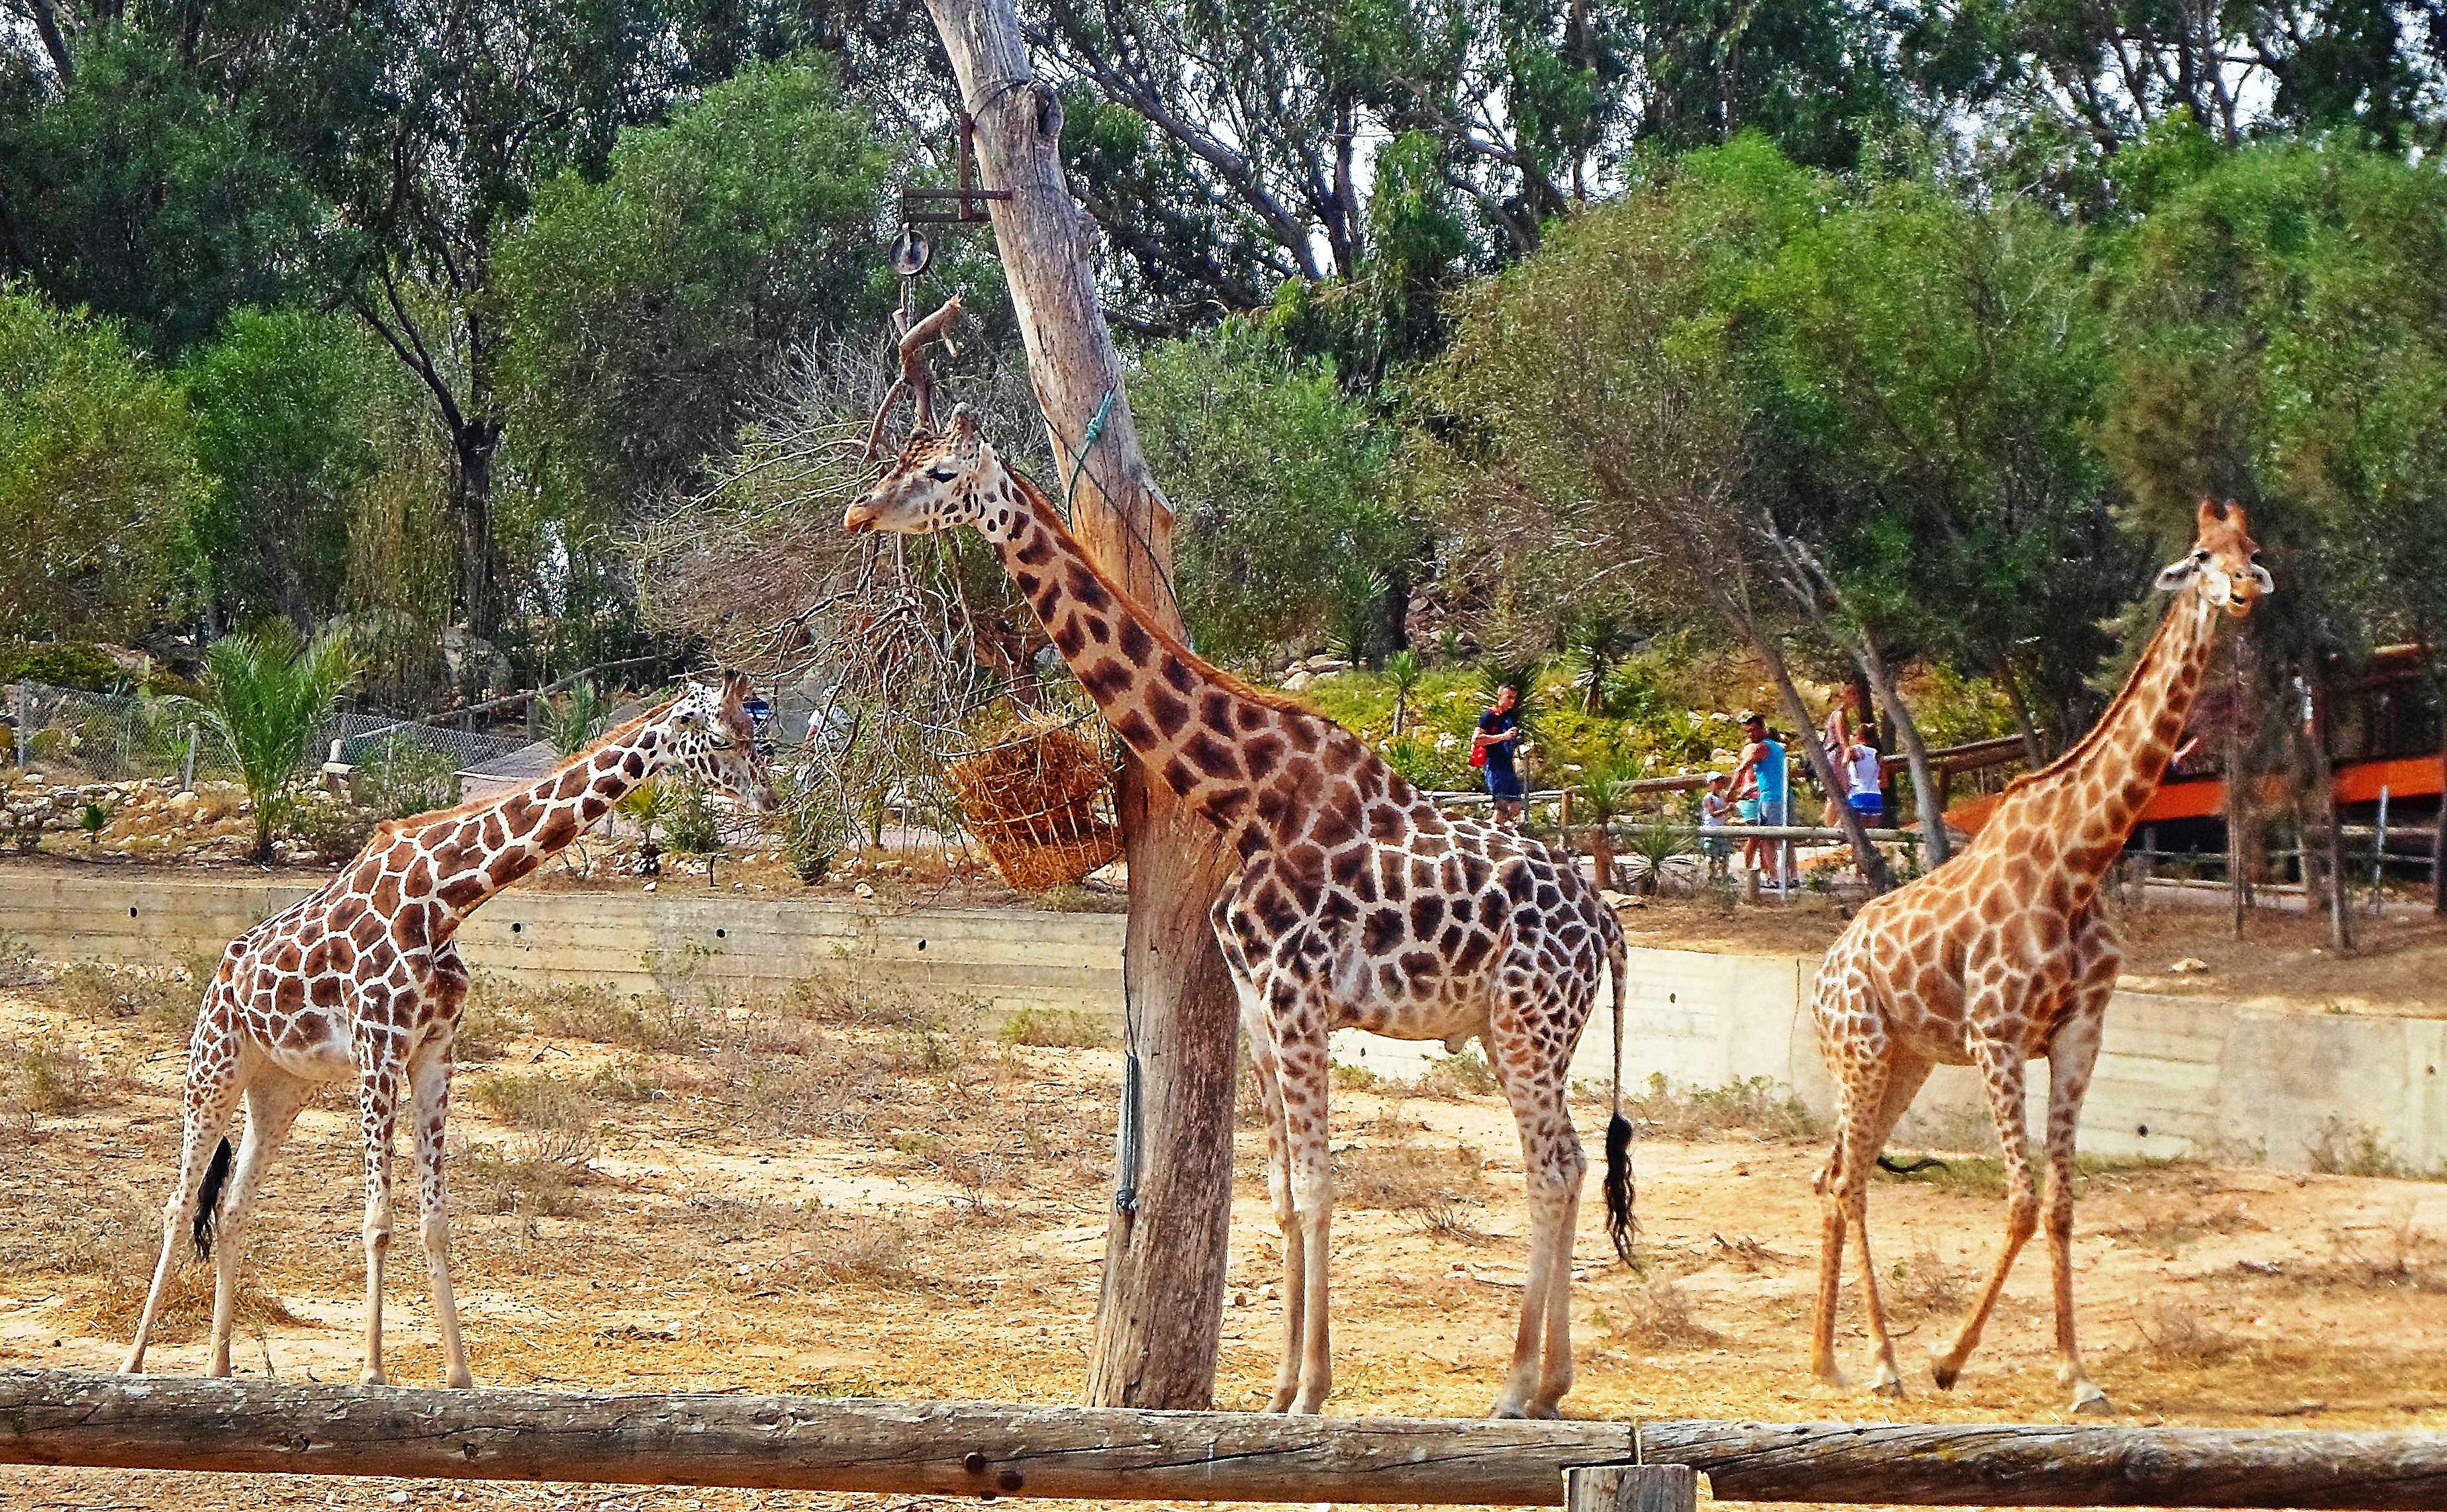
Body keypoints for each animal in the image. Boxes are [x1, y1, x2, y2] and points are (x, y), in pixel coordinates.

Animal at [121, 670, 773, 1380]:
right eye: (720, 738)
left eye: (755, 728)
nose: (768, 796)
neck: (443, 900)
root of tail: (223, 975)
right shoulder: (379, 1049)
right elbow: (378, 1221)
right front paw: (373, 1372)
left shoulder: (435, 1053)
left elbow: (436, 1221)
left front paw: (458, 1375)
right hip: (214, 1065)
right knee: (178, 1205)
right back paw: (134, 1361)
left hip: (280, 1088)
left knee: (235, 1208)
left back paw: (219, 1367)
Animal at [851, 406, 1634, 1419]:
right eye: (901, 459)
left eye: (941, 473)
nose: (861, 513)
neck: (1248, 798)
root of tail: (1608, 919)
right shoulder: (1260, 1004)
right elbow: (1282, 1191)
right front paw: (1282, 1387)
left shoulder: (1299, 996)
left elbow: (1320, 1180)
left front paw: (1311, 1392)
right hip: (1516, 1030)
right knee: (1570, 1162)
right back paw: (1546, 1385)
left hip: (1532, 1024)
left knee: (1552, 1166)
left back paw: (1517, 1389)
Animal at [1801, 496, 2270, 1409]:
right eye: (2201, 555)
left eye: (2251, 547)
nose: (2241, 591)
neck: (2083, 861)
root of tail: (1826, 971)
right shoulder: (1997, 1033)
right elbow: (2020, 1200)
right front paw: (1948, 1361)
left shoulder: (2081, 1032)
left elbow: (2059, 1204)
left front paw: (2078, 1375)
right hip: (1862, 1051)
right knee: (1849, 1180)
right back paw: (1883, 1363)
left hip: (1905, 1060)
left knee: (1840, 1174)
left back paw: (1827, 1360)